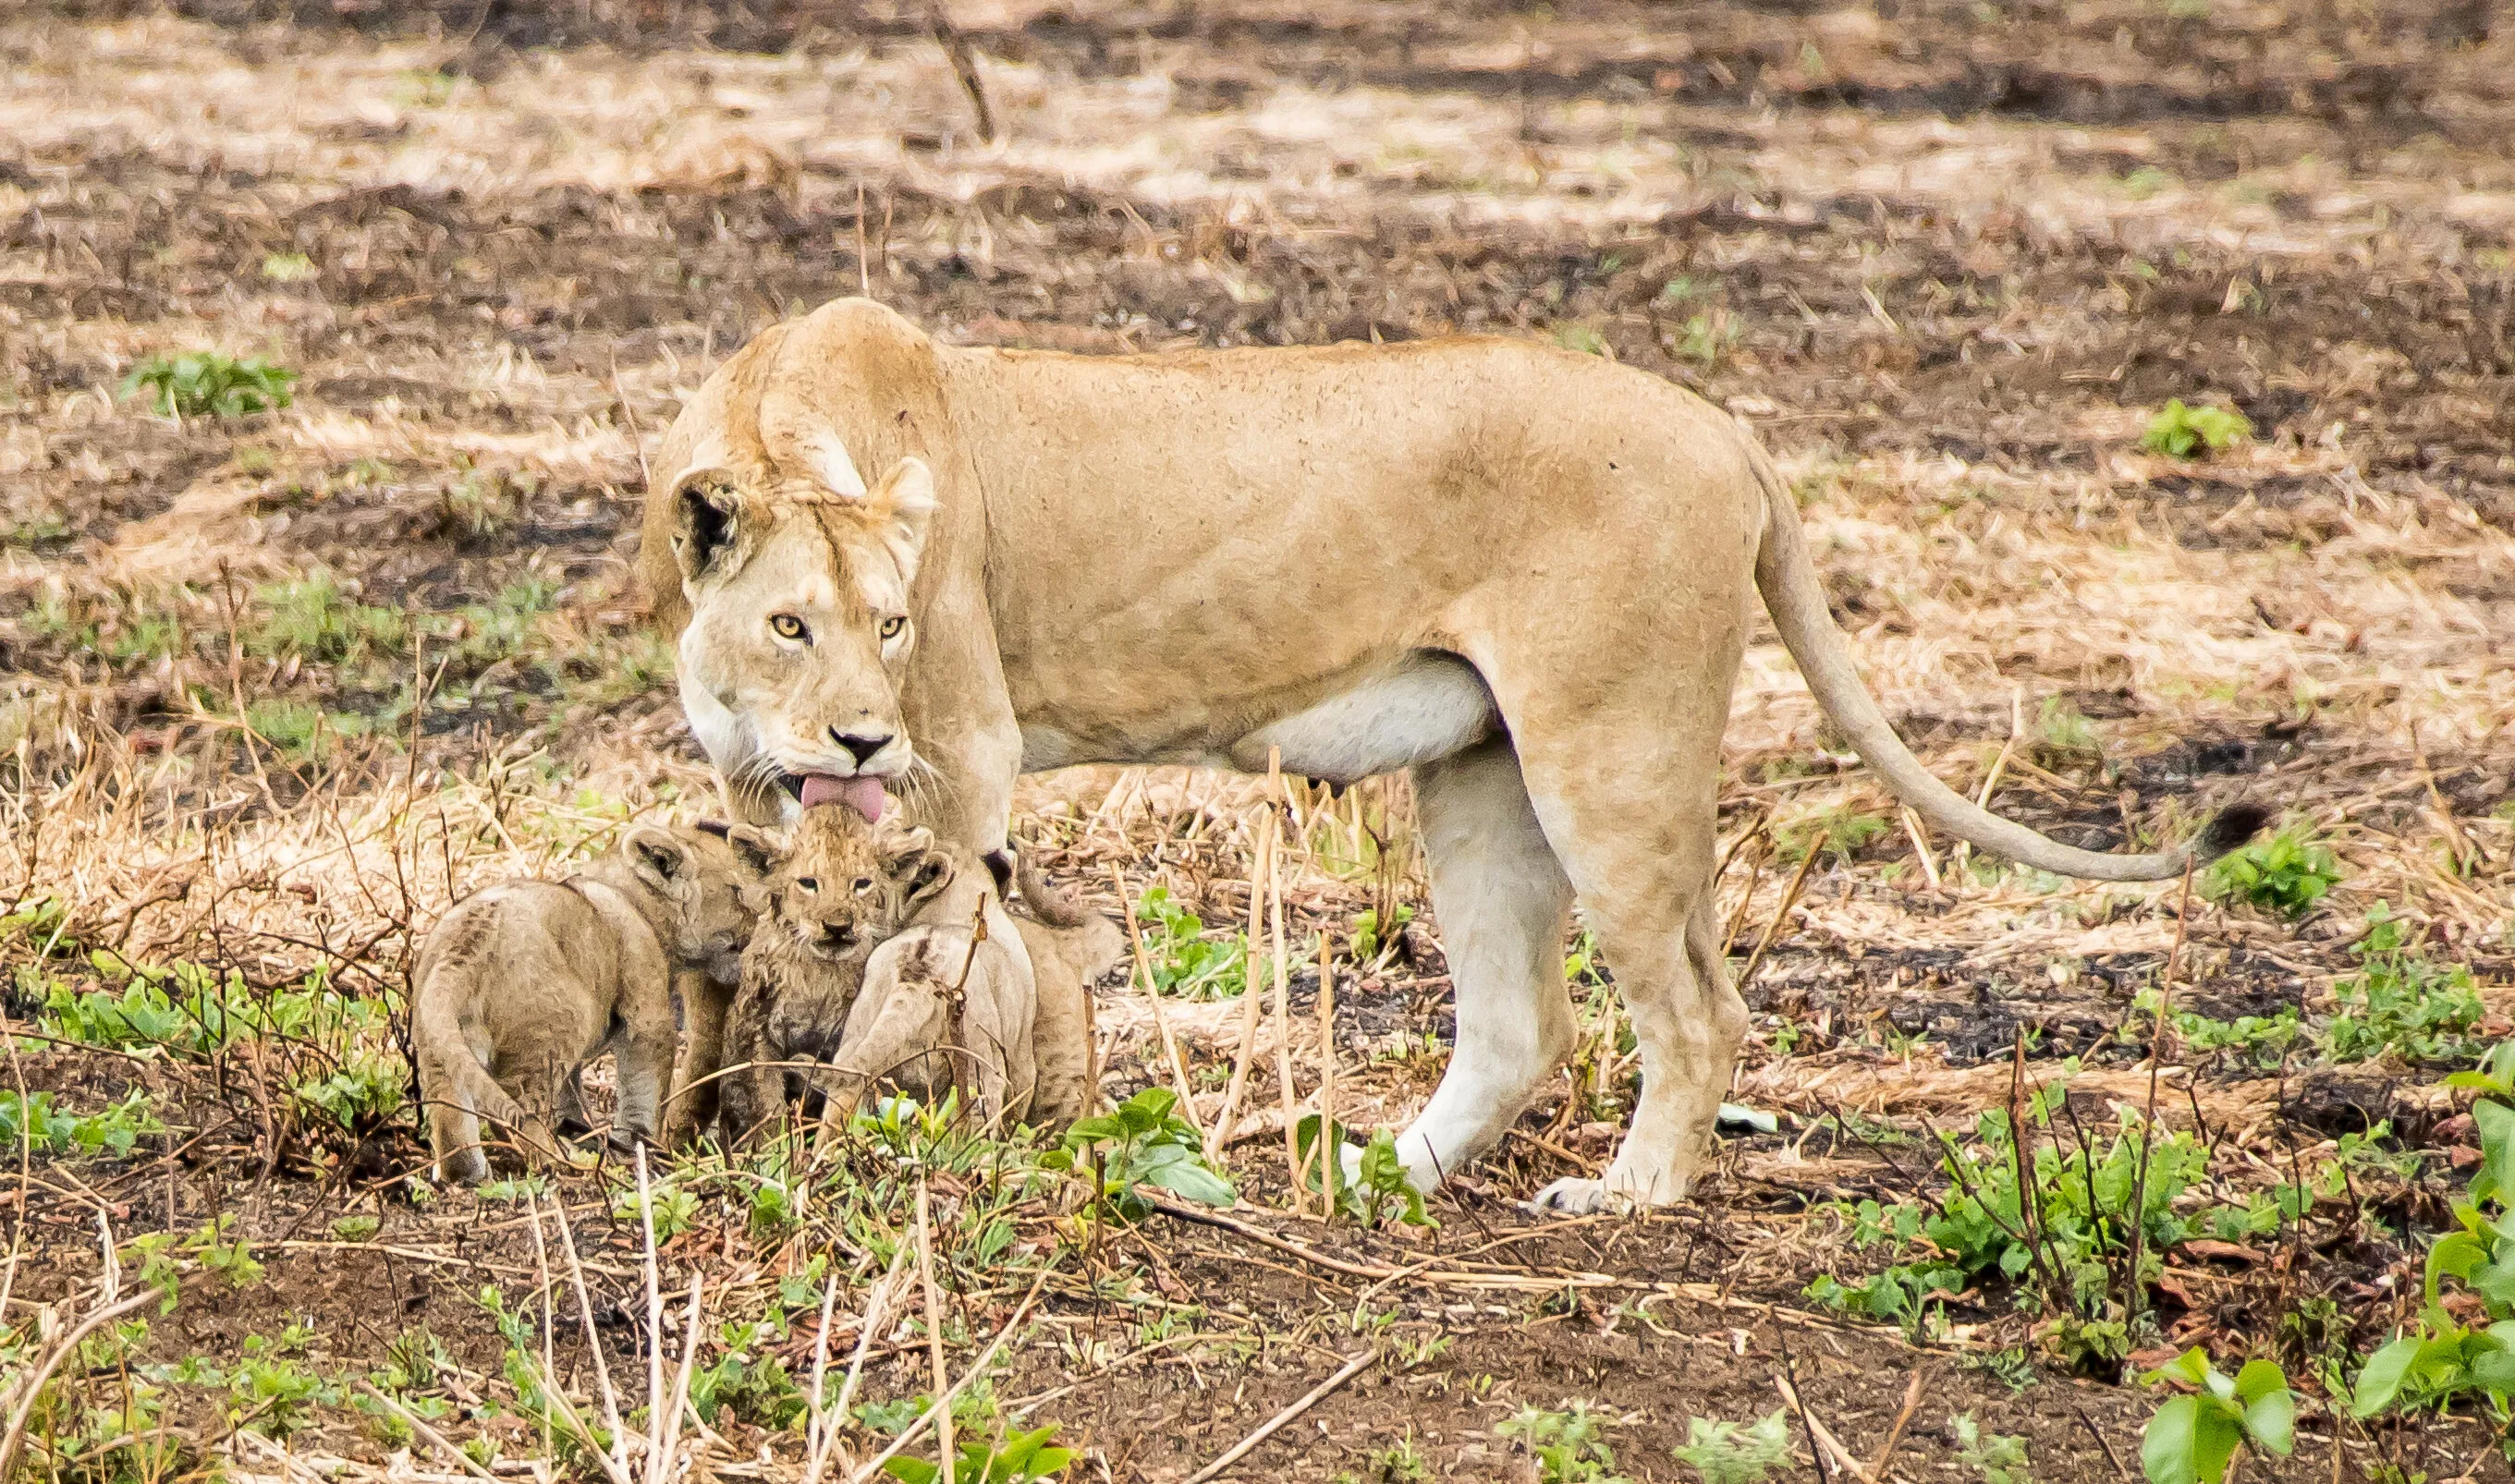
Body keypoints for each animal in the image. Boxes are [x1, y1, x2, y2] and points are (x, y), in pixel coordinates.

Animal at [414, 825, 755, 1184]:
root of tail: (464, 946)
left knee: (450, 1111)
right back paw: (556, 1162)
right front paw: (637, 1142)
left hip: (438, 1043)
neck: (637, 901)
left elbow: (569, 1093)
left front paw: (581, 1131)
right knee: (520, 1109)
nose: (759, 924)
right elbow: (644, 1087)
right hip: (558, 1025)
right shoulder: (646, 1015)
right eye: (737, 892)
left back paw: (467, 1176)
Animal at [636, 297, 2263, 1212]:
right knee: (1520, 1021)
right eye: (790, 623)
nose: (859, 730)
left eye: (894, 623)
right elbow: (767, 944)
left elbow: (956, 957)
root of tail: (1721, 426)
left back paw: (1629, 1198)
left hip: (1609, 754)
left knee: (1698, 1008)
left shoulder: (965, 752)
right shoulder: (750, 782)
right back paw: (1369, 1173)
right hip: (1482, 776)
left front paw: (938, 1136)